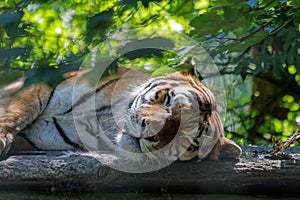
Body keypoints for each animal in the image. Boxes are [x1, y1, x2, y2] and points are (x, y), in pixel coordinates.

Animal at [0, 60, 241, 166]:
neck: (103, 121)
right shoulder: (37, 86)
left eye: (188, 140)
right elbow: (16, 110)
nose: (149, 132)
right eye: (169, 101)